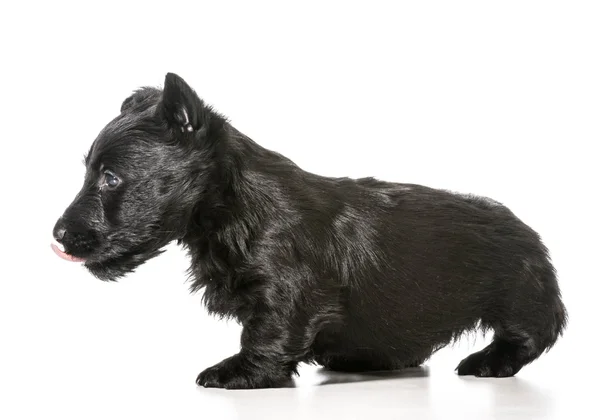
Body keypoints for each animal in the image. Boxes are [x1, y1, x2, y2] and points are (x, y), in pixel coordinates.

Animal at [51, 73, 568, 390]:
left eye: (110, 178)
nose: (56, 235)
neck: (232, 208)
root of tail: (527, 229)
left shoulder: (289, 291)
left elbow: (268, 334)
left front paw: (236, 372)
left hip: (520, 292)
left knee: (530, 334)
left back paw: (488, 362)